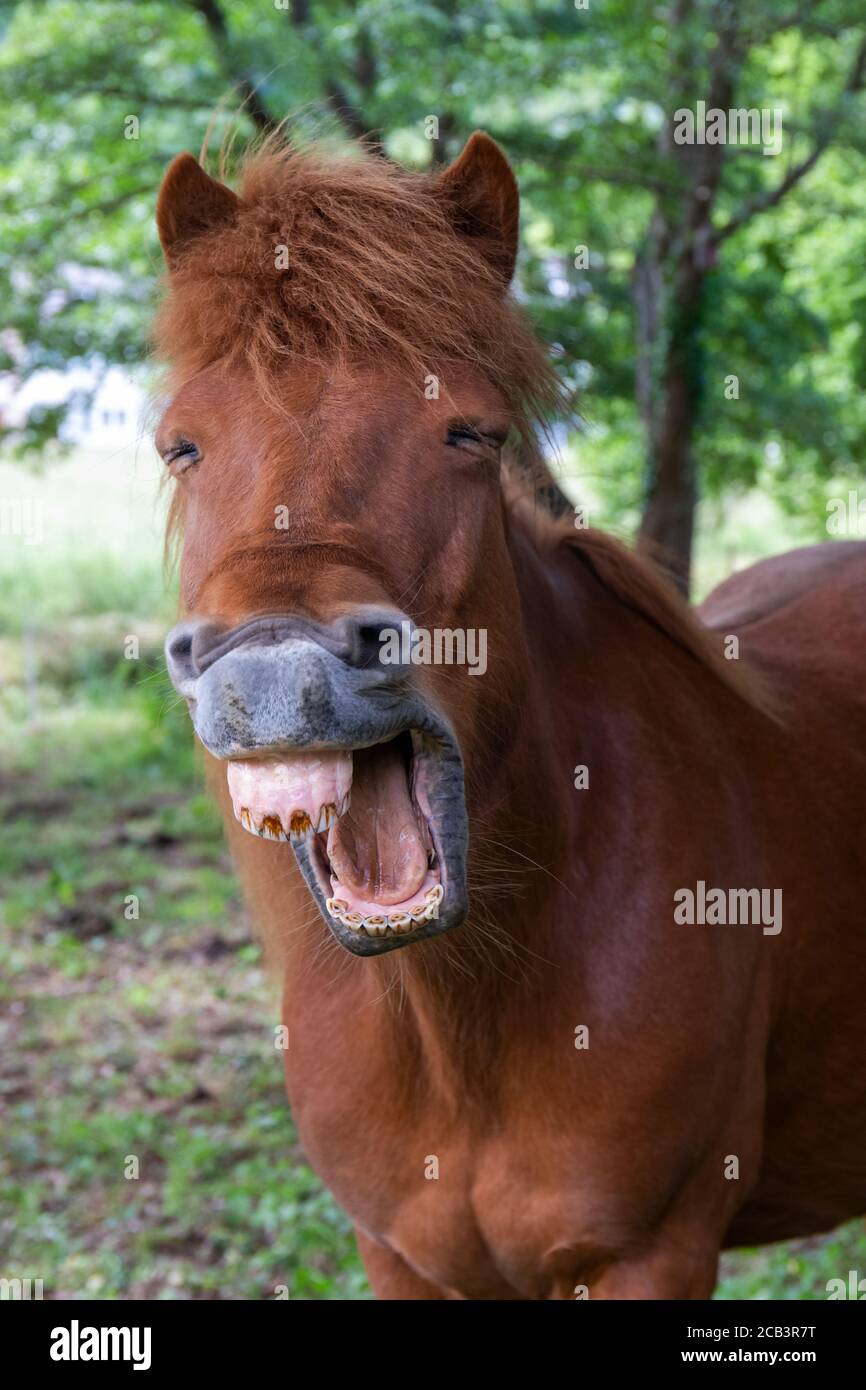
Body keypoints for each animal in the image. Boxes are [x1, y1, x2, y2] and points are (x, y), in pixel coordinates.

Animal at [155, 130, 866, 1301]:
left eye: (470, 433)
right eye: (181, 446)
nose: (276, 671)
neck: (459, 1023)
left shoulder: (653, 1254)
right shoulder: (396, 1257)